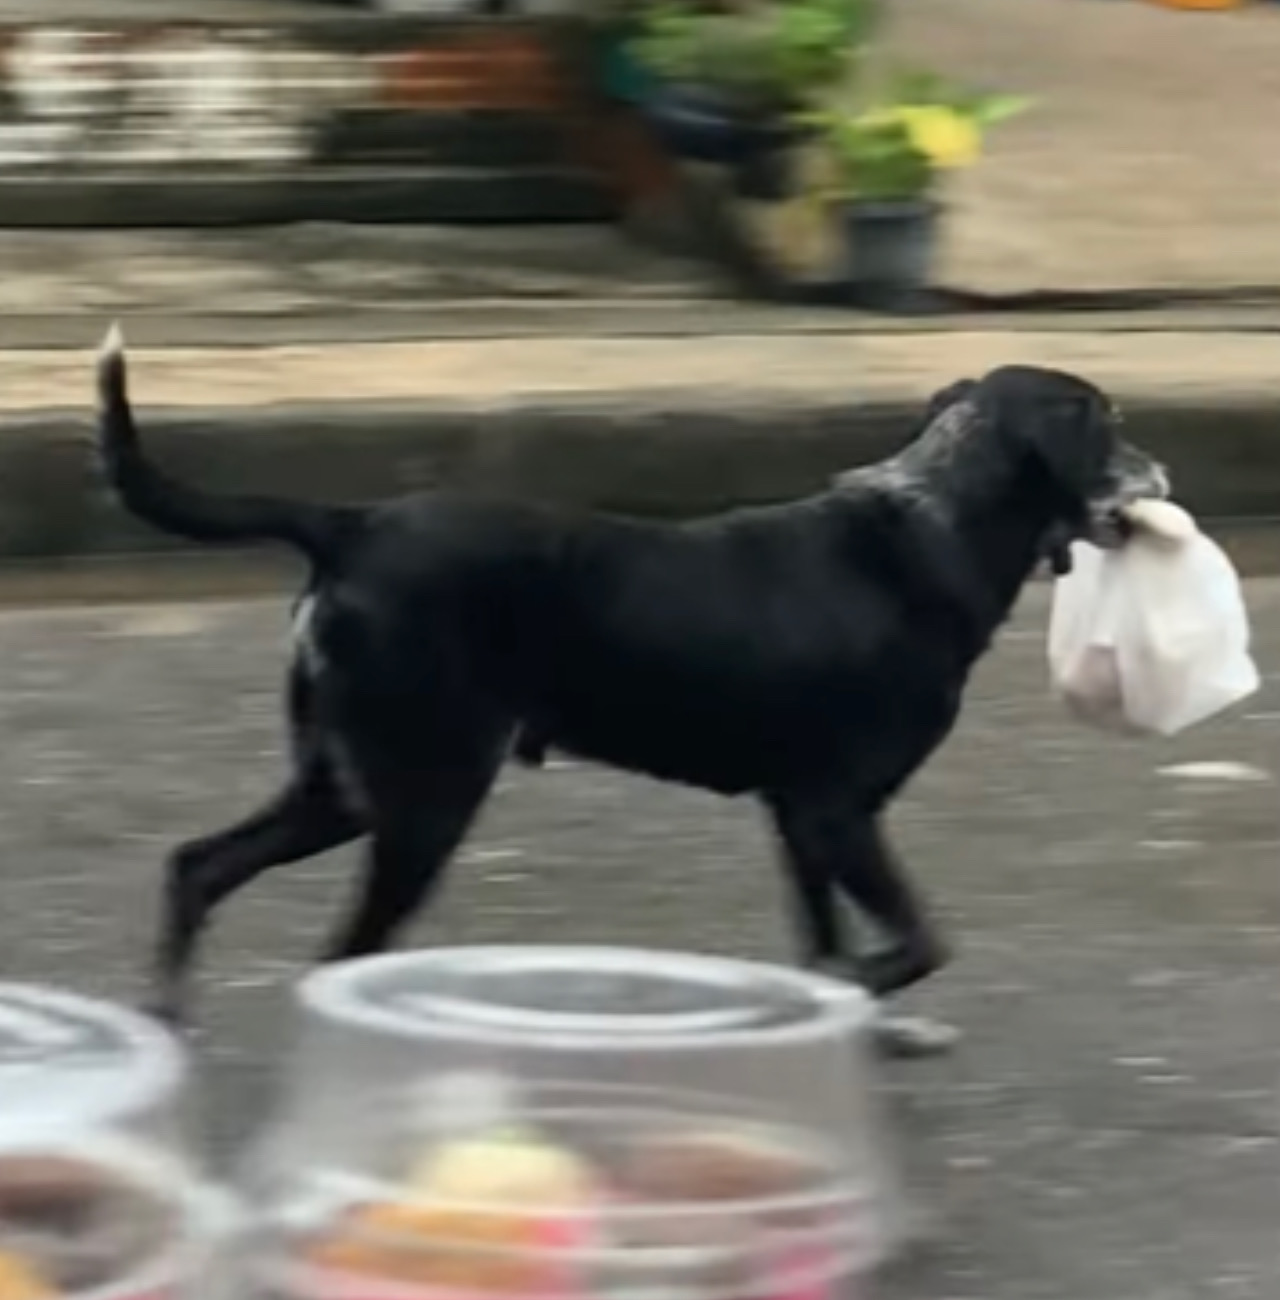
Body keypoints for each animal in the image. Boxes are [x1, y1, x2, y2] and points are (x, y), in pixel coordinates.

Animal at [92, 332, 1169, 1024]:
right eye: (1108, 425)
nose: (1160, 478)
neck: (926, 522)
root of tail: (348, 524)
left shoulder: (799, 816)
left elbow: (823, 943)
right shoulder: (836, 811)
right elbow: (914, 945)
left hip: (346, 784)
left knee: (198, 865)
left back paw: (166, 1011)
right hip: (424, 795)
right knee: (337, 951)